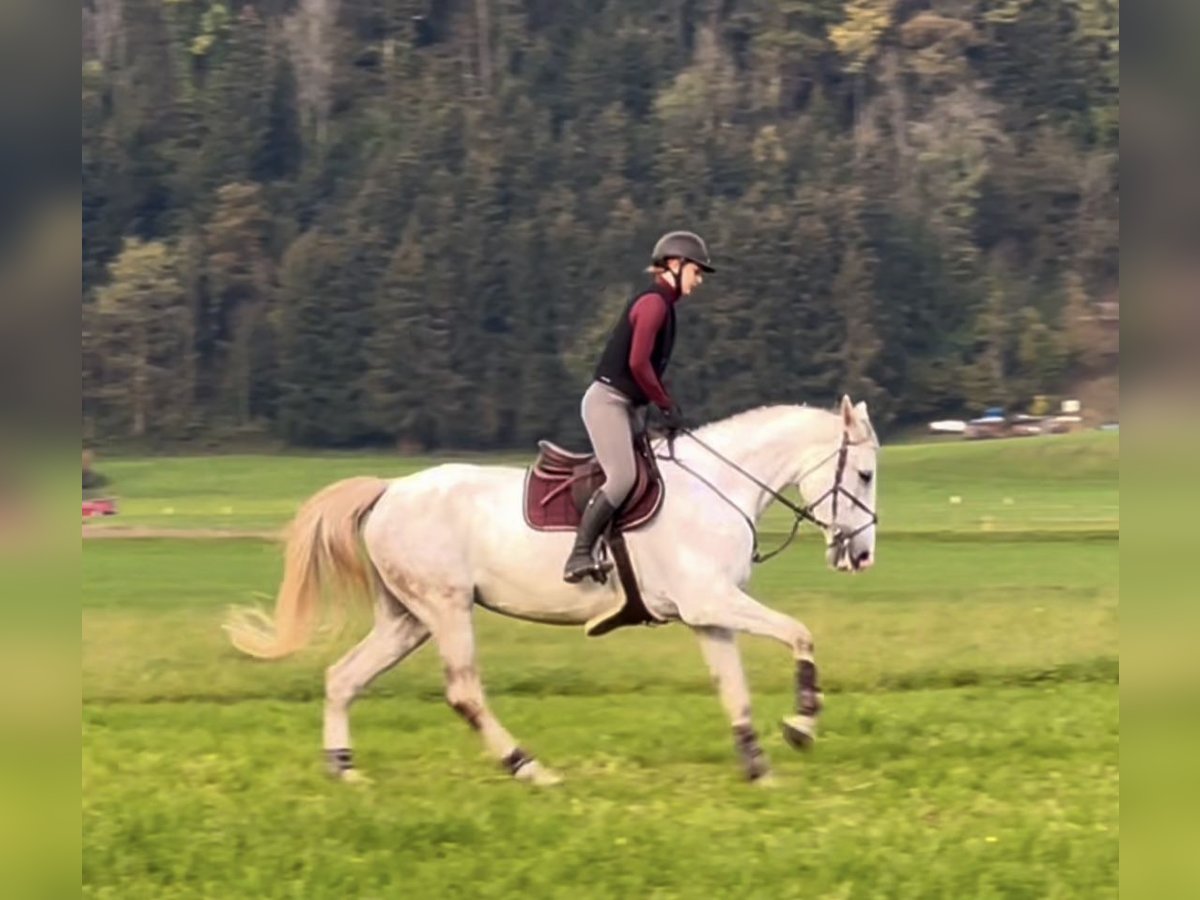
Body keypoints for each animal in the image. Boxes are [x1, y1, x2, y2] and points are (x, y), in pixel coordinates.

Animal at [226, 393, 883, 782]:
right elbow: (800, 634)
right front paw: (802, 724)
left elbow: (735, 692)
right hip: (446, 608)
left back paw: (344, 769)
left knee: (343, 678)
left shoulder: (709, 614)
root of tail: (389, 491)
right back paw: (528, 767)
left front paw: (758, 767)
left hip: (407, 619)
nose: (863, 555)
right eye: (866, 474)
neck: (716, 486)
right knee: (463, 692)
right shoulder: (712, 601)